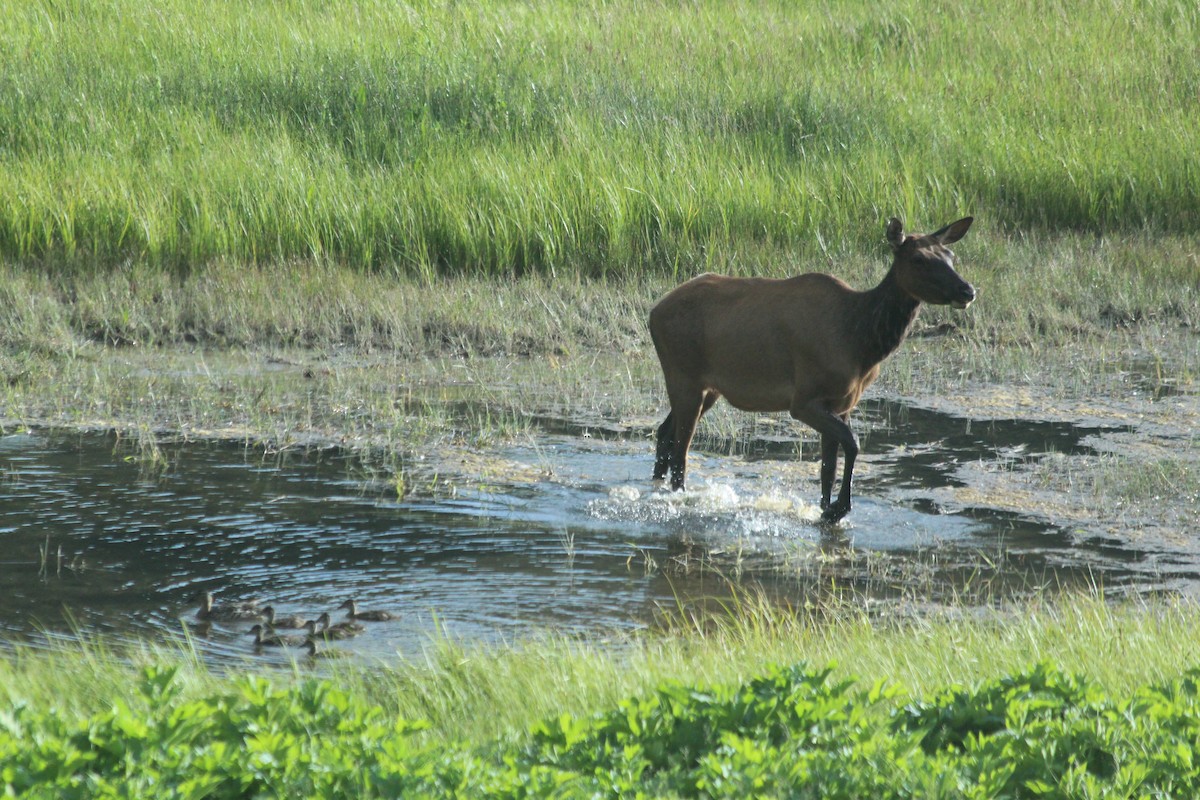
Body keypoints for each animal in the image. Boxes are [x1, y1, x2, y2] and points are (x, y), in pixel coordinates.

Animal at [648, 216, 975, 524]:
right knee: (680, 453)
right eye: (918, 259)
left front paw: (825, 509)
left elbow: (827, 468)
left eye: (950, 255)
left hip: (708, 388)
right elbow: (853, 443)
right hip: (684, 377)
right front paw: (839, 508)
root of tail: (653, 313)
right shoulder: (804, 401)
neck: (861, 343)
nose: (967, 290)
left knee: (664, 434)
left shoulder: (842, 403)